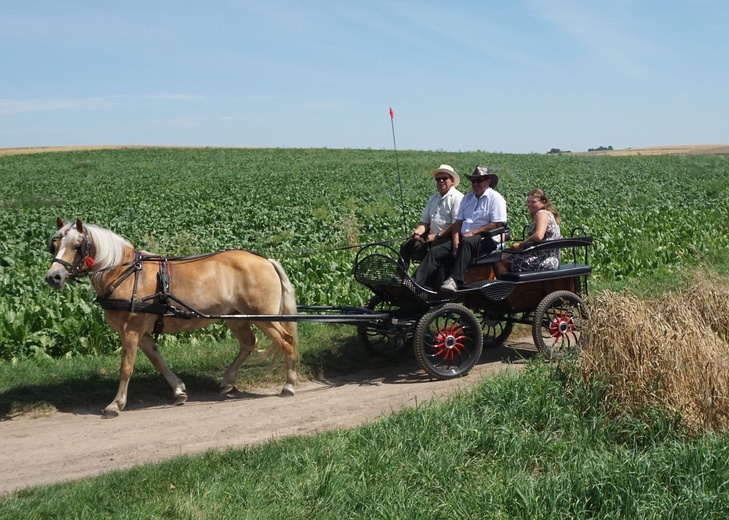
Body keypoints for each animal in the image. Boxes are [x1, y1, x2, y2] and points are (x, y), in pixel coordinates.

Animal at [45, 218, 298, 418]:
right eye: (54, 246)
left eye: (77, 246)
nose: (53, 277)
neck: (124, 273)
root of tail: (266, 261)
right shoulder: (142, 332)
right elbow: (157, 360)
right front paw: (178, 391)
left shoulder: (131, 330)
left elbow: (126, 367)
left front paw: (115, 405)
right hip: (236, 316)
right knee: (248, 343)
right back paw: (228, 381)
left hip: (264, 316)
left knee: (286, 342)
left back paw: (289, 385)